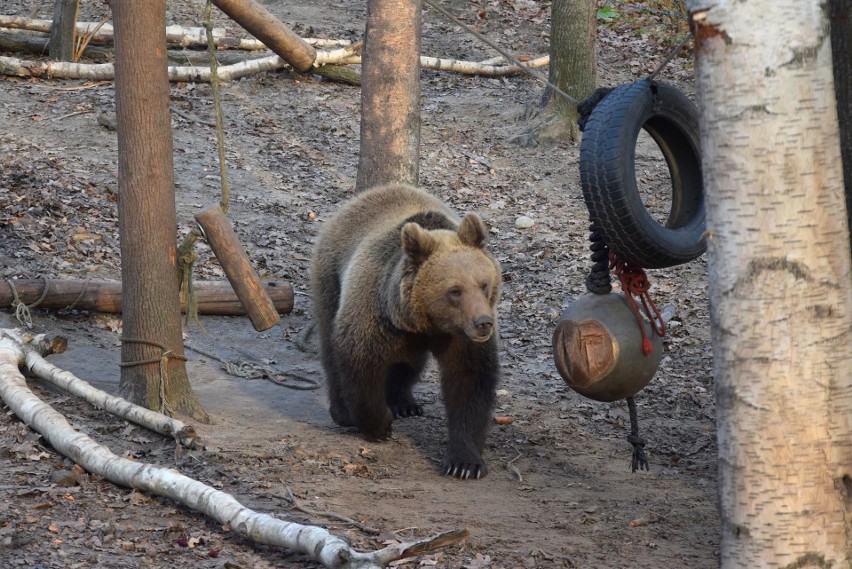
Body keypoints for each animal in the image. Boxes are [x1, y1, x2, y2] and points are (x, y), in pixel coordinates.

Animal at [312, 184, 500, 478]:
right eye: (455, 290)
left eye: (483, 284)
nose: (483, 322)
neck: (426, 322)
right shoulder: (375, 313)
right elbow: (360, 363)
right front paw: (380, 426)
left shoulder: (461, 340)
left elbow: (469, 382)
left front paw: (465, 463)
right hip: (331, 277)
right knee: (331, 349)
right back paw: (343, 411)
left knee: (408, 362)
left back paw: (404, 402)